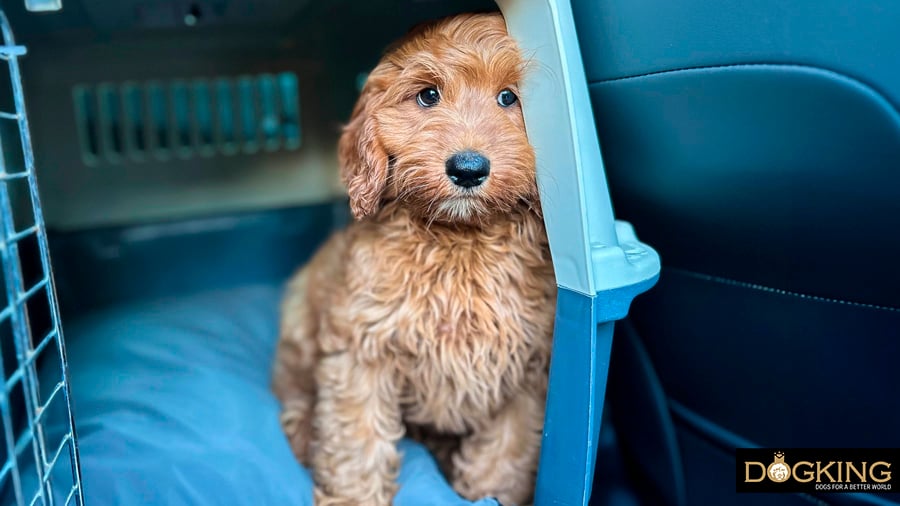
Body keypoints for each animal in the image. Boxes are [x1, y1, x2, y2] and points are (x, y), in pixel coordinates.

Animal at [272, 12, 556, 506]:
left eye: (509, 97)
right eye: (428, 96)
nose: (468, 168)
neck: (458, 240)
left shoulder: (529, 370)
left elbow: (505, 454)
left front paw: (488, 492)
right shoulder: (362, 346)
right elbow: (356, 439)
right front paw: (353, 497)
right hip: (299, 320)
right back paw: (303, 429)